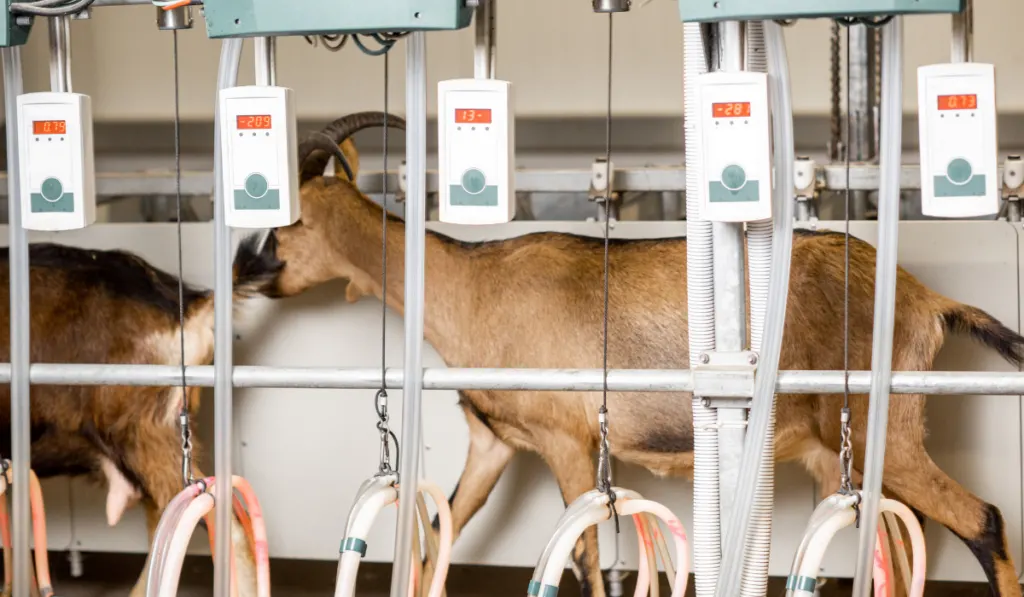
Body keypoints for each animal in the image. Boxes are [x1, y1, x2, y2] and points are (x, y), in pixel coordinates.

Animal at [235, 113, 1024, 597]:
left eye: (285, 221)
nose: (240, 271)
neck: (475, 285)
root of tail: (928, 299)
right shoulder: (494, 442)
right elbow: (439, 533)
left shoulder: (569, 442)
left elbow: (585, 556)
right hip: (842, 453)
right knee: (901, 541)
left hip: (884, 430)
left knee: (982, 517)